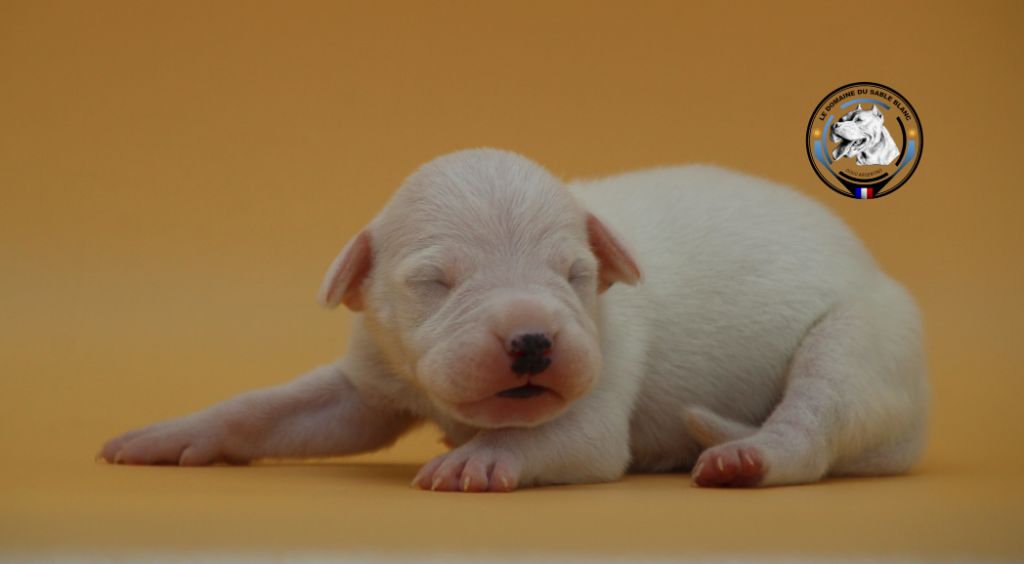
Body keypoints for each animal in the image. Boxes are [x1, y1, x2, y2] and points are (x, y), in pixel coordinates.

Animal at [100, 149, 929, 491]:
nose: (533, 339)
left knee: (815, 419)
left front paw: (478, 458)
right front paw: (174, 435)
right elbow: (276, 410)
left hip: (860, 339)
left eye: (575, 275)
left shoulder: (599, 396)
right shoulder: (366, 383)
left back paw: (746, 458)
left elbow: (556, 434)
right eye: (434, 281)